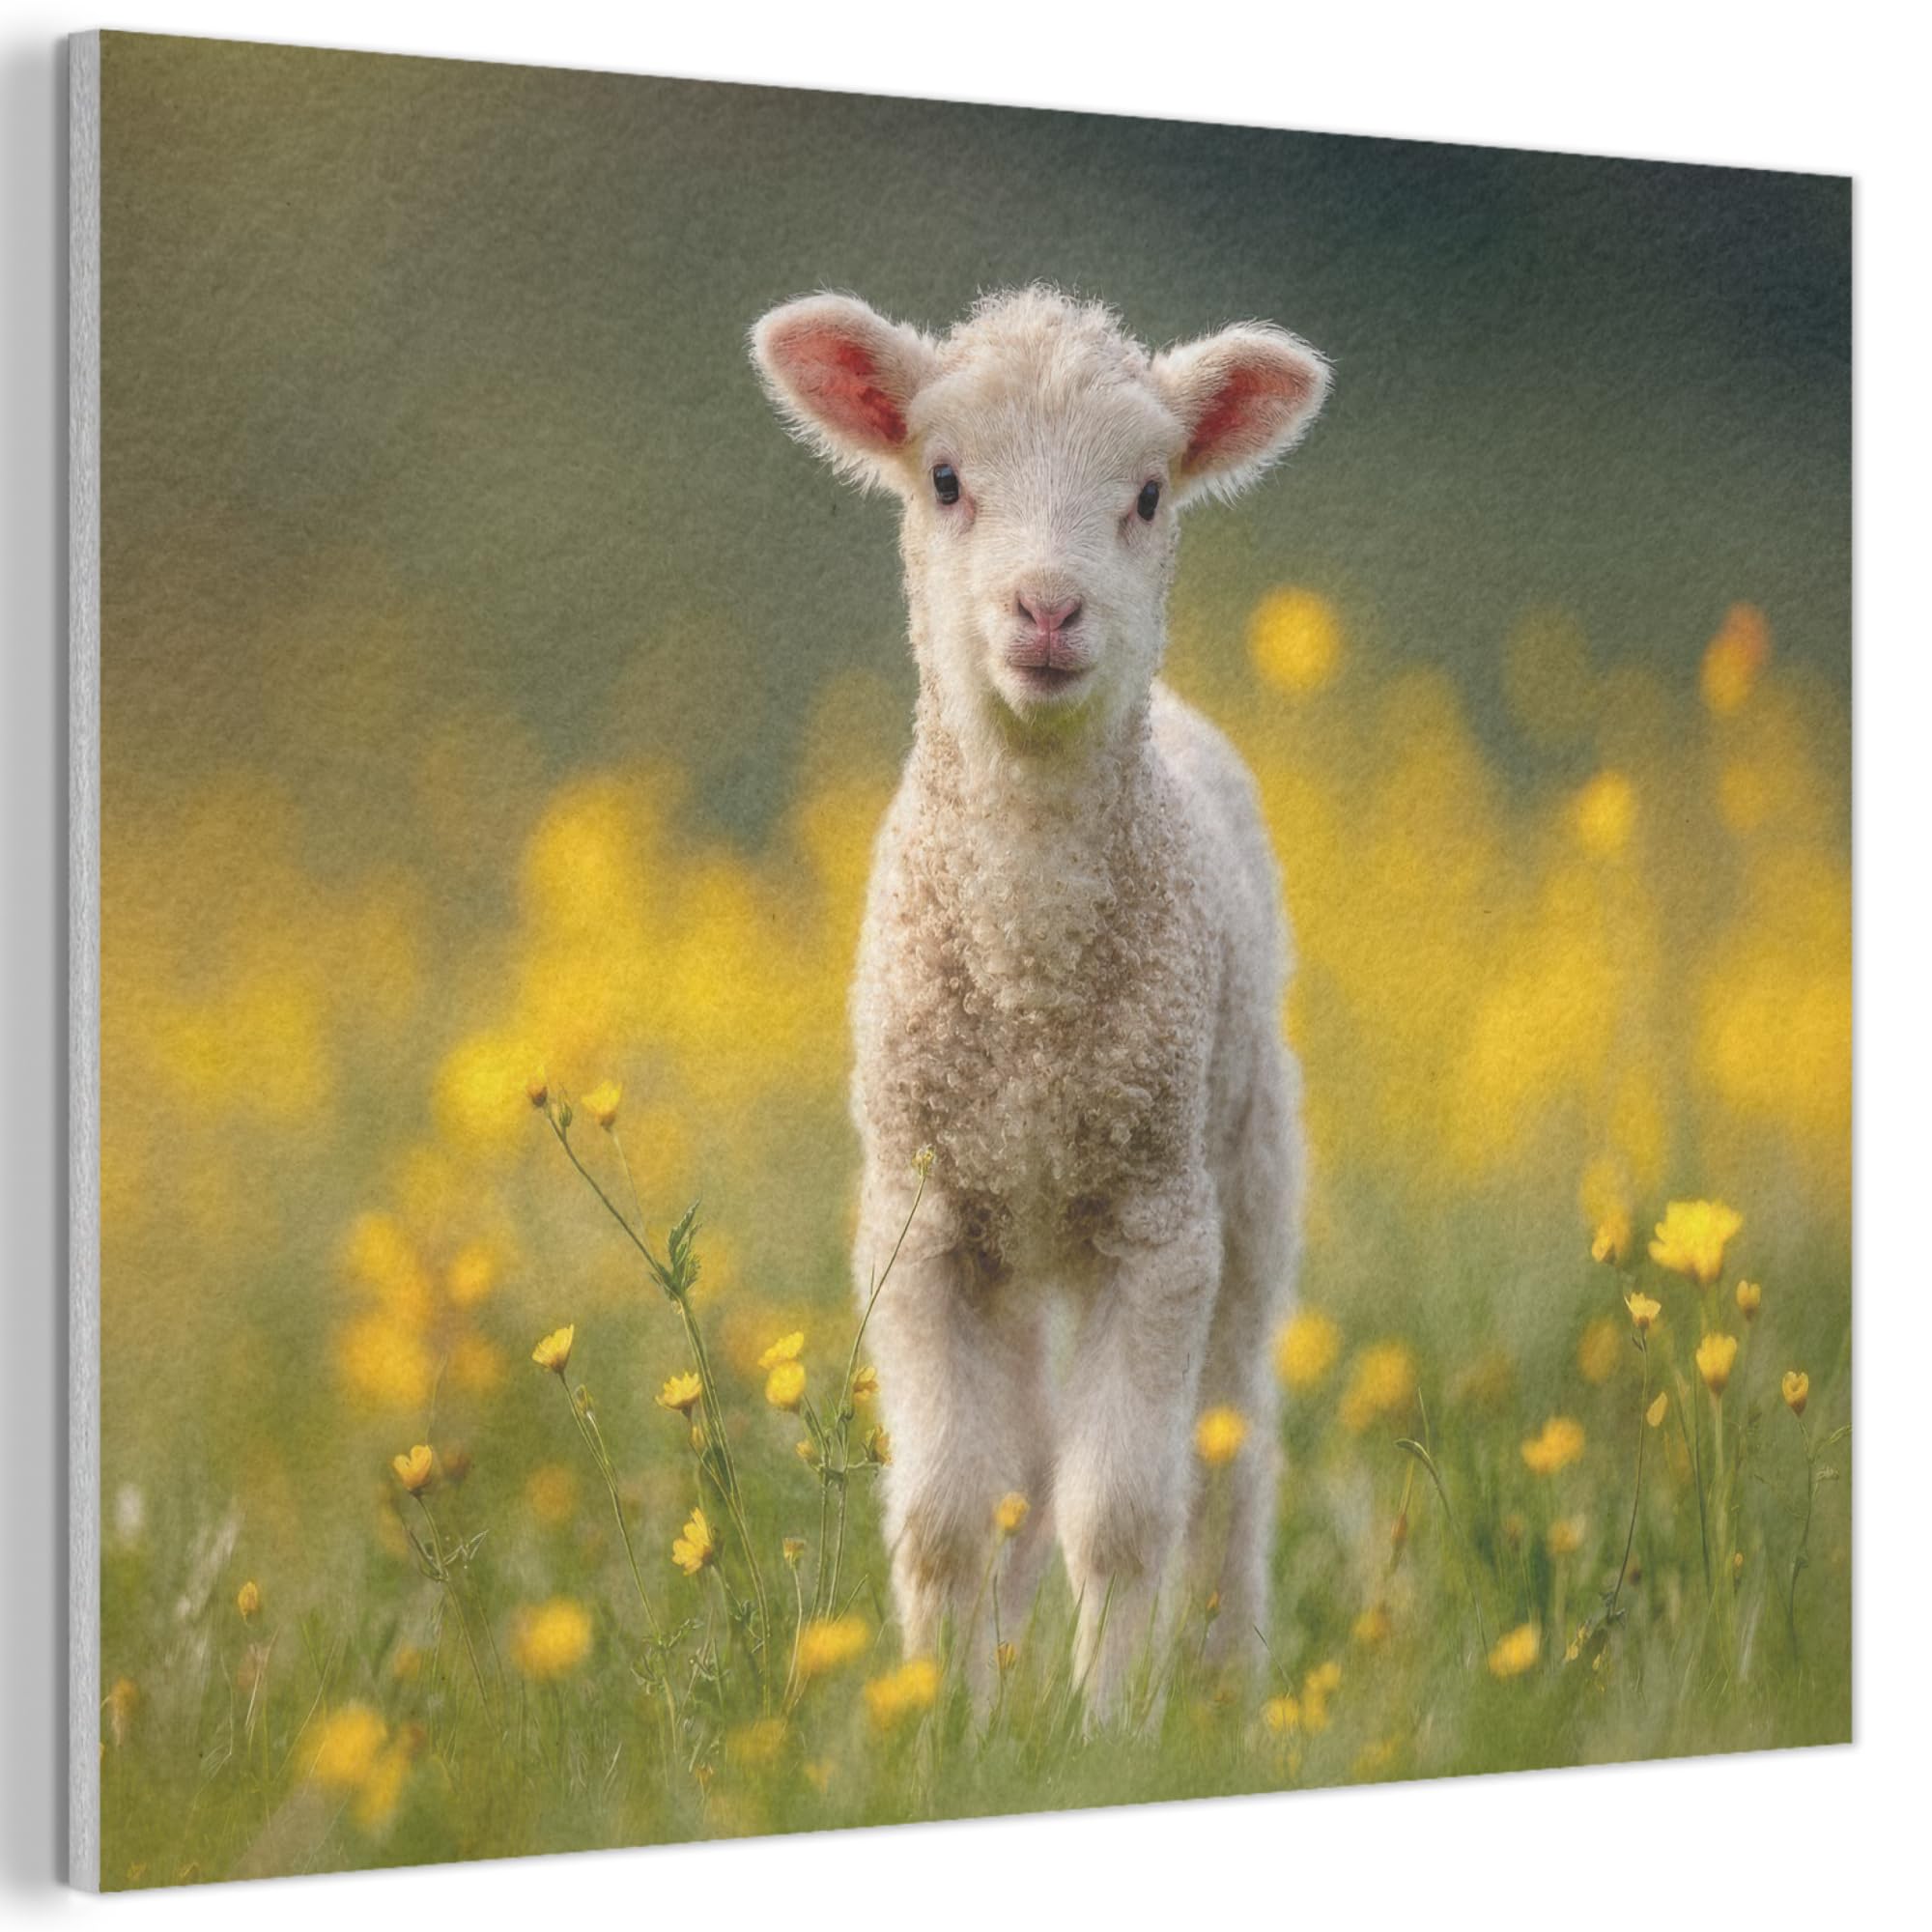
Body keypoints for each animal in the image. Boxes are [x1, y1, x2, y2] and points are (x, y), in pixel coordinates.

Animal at [750, 285, 1329, 1716]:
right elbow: (951, 1512)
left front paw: (1110, 1726)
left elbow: (1118, 1515)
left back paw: (1224, 1690)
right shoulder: (920, 1220)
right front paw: (940, 1721)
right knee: (1019, 1468)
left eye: (1149, 492)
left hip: (1247, 1167)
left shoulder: (1157, 1222)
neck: (1031, 994)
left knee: (1228, 1462)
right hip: (1009, 1229)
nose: (1048, 606)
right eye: (945, 480)